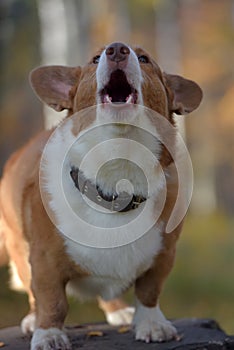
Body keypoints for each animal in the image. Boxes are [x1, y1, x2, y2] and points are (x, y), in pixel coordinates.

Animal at [0, 42, 202, 348]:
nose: (117, 49)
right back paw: (34, 320)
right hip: (19, 247)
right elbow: (52, 300)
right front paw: (48, 334)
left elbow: (149, 292)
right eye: (95, 59)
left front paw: (152, 325)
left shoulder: (164, 254)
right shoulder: (44, 261)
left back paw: (119, 311)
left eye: (144, 59)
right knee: (34, 294)